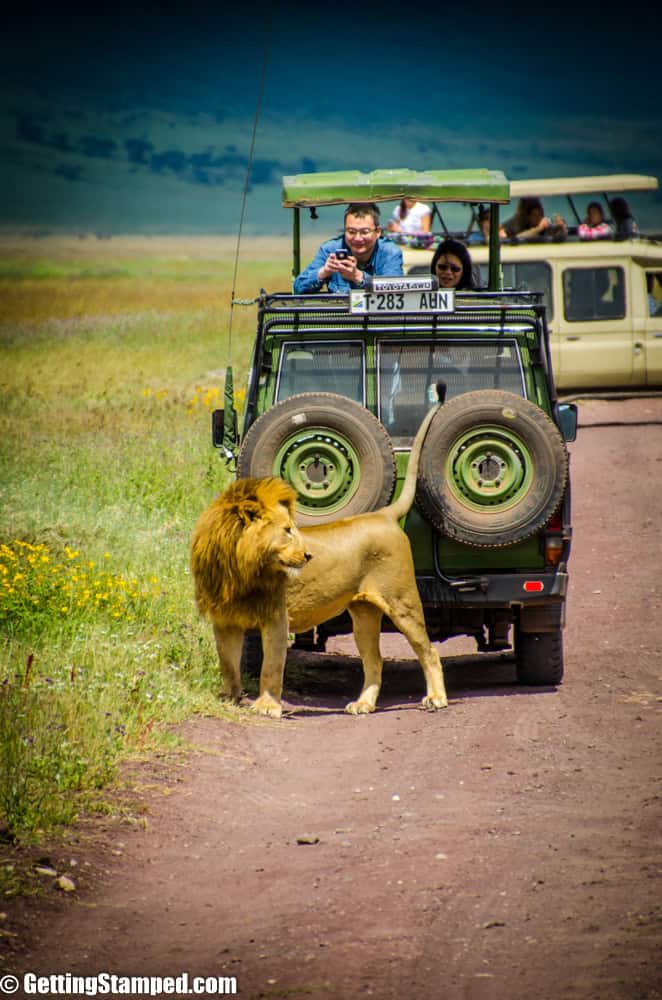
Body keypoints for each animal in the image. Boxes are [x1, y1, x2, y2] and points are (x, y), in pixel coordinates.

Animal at [193, 398, 452, 720]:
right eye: (287, 530)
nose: (308, 555)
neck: (237, 567)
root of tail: (383, 514)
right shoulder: (224, 620)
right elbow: (227, 664)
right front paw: (229, 699)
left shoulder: (276, 618)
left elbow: (270, 667)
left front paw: (267, 706)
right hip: (363, 612)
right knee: (374, 659)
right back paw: (363, 704)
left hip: (402, 600)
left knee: (428, 651)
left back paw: (436, 699)